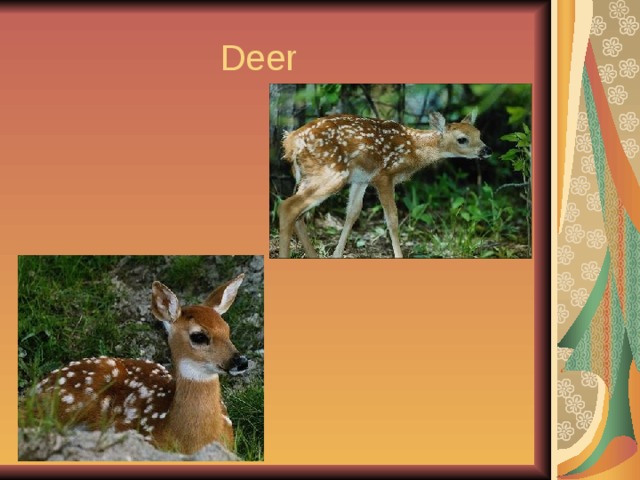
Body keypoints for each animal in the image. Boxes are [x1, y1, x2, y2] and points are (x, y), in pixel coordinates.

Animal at [278, 111, 492, 258]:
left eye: (479, 133)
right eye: (462, 139)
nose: (487, 150)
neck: (413, 148)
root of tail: (291, 142)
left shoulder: (362, 178)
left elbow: (353, 212)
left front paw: (337, 255)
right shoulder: (384, 176)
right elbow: (392, 219)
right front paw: (399, 256)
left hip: (311, 176)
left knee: (299, 214)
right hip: (332, 173)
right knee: (289, 206)